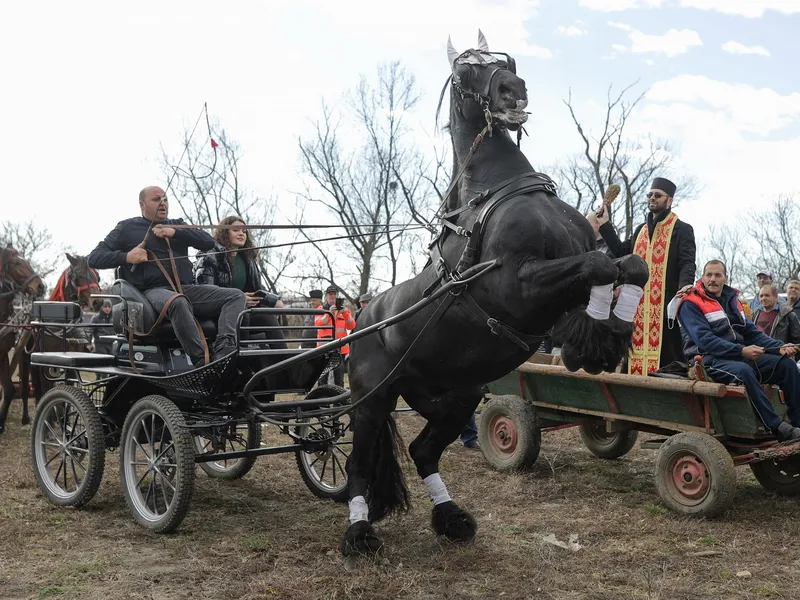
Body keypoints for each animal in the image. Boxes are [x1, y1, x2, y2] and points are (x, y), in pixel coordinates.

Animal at [340, 32, 648, 556]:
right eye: (466, 71)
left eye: (507, 62)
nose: (512, 91)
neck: (501, 192)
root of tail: (364, 318)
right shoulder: (518, 286)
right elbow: (600, 264)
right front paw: (595, 341)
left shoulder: (566, 281)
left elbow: (629, 265)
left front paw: (605, 338)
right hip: (372, 401)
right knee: (359, 463)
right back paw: (360, 535)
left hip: (454, 396)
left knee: (423, 450)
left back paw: (451, 519)